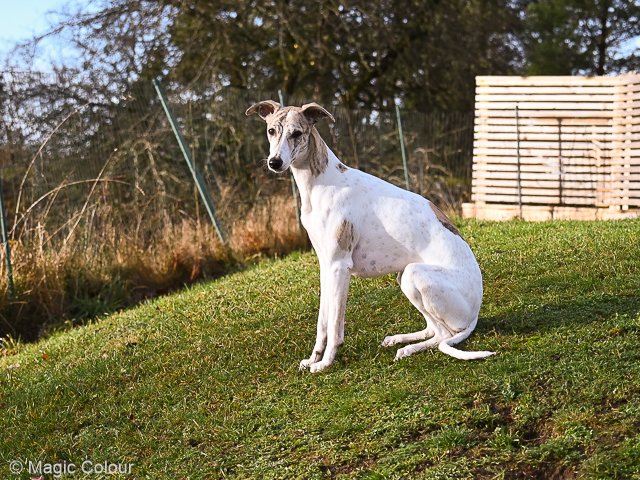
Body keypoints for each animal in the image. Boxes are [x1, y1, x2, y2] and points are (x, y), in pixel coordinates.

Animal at [246, 100, 496, 372]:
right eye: (271, 131)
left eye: (297, 133)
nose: (275, 162)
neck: (322, 182)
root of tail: (475, 314)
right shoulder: (326, 266)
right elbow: (322, 322)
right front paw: (313, 359)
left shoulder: (339, 266)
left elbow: (335, 326)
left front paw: (326, 363)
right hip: (403, 276)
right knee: (434, 329)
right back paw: (400, 340)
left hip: (415, 275)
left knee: (443, 334)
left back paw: (407, 349)